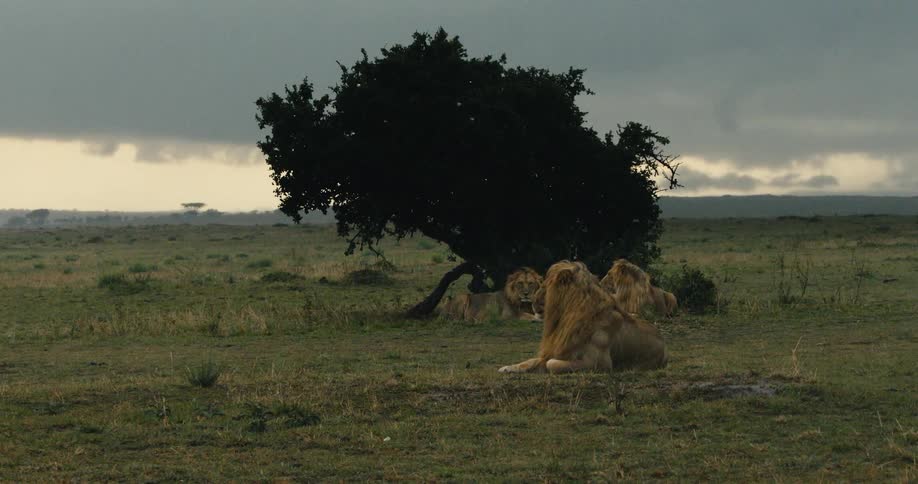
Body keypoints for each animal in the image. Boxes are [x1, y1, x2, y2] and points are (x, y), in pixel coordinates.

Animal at [499, 260, 667, 374]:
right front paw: (508, 367)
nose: (530, 300)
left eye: (546, 287)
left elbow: (551, 364)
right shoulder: (559, 348)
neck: (568, 316)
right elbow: (531, 361)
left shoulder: (600, 363)